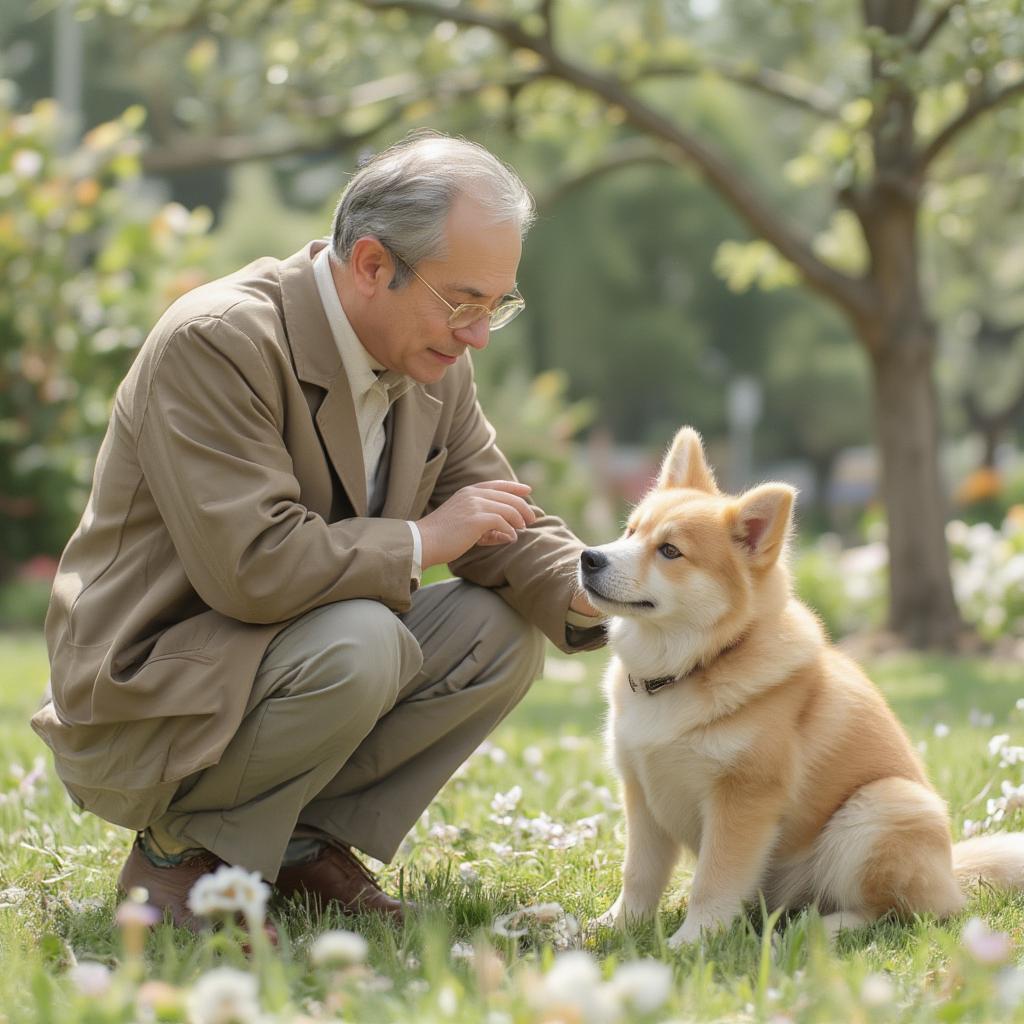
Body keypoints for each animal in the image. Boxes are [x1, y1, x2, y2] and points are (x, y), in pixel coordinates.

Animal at [581, 423, 1024, 942]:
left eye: (670, 551)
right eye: (630, 531)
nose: (589, 557)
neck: (690, 667)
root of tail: (952, 875)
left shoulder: (743, 798)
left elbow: (713, 880)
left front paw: (692, 941)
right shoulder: (642, 793)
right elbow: (639, 875)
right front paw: (614, 927)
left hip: (879, 807)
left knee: (898, 913)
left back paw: (816, 928)